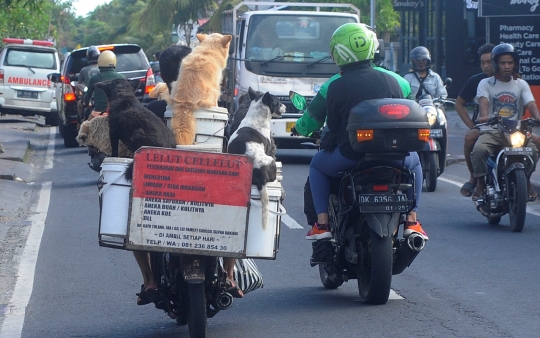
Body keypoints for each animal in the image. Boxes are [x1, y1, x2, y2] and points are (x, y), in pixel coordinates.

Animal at [228, 88, 286, 230]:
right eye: (278, 102)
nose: (286, 106)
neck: (255, 117)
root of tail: (260, 178)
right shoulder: (270, 150)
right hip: (270, 160)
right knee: (274, 176)